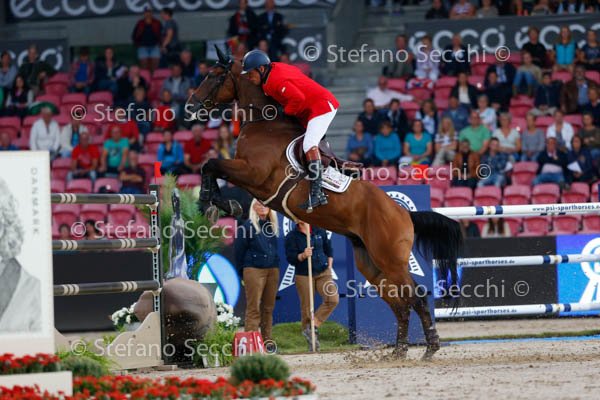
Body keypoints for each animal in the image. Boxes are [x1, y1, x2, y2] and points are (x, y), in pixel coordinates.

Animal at [186, 48, 463, 360]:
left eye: (213, 75)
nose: (189, 106)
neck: (263, 123)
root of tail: (403, 213)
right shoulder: (250, 179)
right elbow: (213, 168)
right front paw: (216, 204)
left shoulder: (253, 173)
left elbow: (211, 164)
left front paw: (213, 201)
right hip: (373, 265)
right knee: (400, 304)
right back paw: (399, 351)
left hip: (391, 260)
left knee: (416, 297)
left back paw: (430, 347)